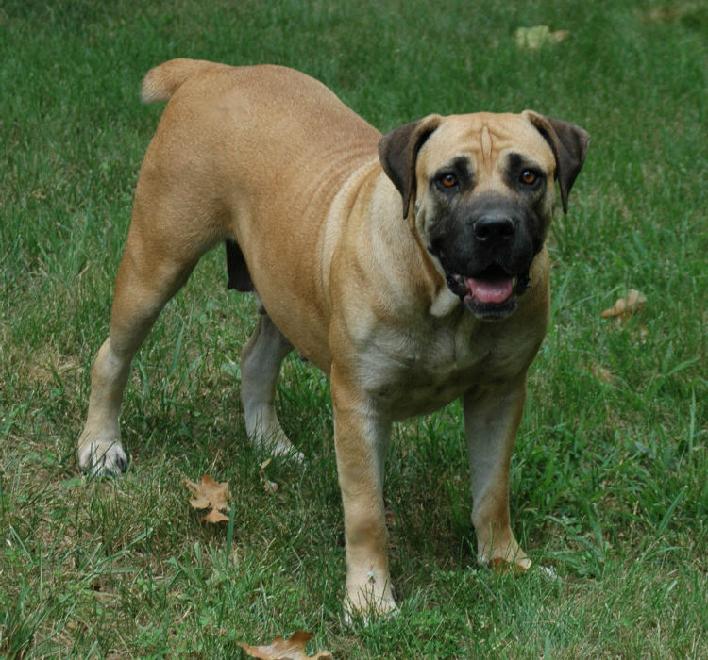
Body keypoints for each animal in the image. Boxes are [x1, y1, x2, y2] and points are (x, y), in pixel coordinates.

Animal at [77, 59, 588, 616]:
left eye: (528, 175)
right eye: (449, 179)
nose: (494, 227)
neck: (442, 301)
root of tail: (215, 71)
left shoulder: (499, 395)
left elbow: (493, 491)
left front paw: (504, 562)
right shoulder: (359, 403)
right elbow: (365, 512)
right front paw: (369, 598)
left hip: (285, 291)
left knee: (256, 359)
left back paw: (271, 444)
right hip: (156, 264)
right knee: (112, 356)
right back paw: (100, 445)